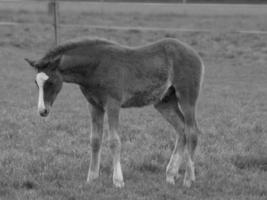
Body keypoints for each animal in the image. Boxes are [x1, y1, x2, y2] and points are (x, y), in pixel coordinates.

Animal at [25, 36, 205, 188]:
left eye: (51, 82)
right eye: (36, 82)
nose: (42, 110)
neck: (95, 66)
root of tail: (196, 55)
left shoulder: (112, 104)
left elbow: (114, 141)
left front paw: (118, 181)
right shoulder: (94, 105)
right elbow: (95, 140)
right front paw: (92, 177)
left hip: (187, 97)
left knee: (192, 131)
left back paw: (188, 179)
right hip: (165, 102)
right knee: (181, 130)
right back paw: (170, 175)